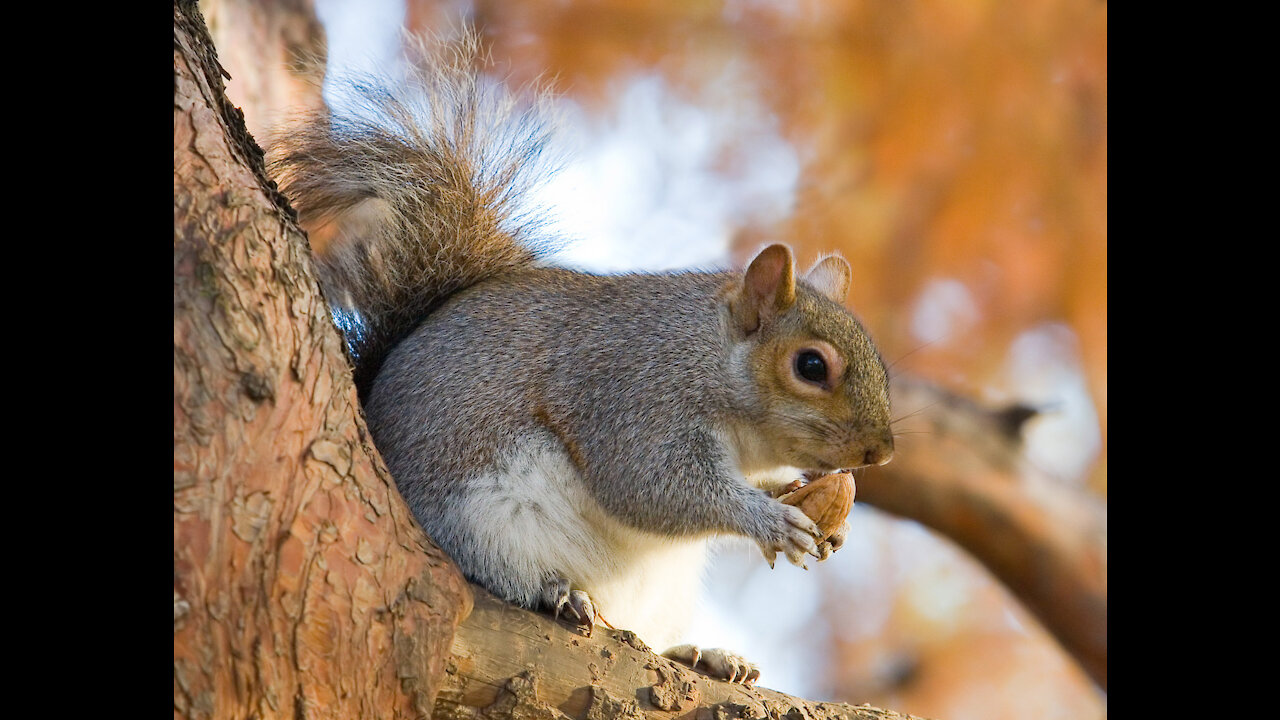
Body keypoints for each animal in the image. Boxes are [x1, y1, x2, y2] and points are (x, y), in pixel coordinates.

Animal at [270, 33, 890, 681]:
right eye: (811, 366)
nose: (882, 451)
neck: (708, 358)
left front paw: (812, 506)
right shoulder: (633, 394)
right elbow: (650, 485)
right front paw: (768, 520)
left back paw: (703, 654)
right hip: (480, 521)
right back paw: (557, 592)